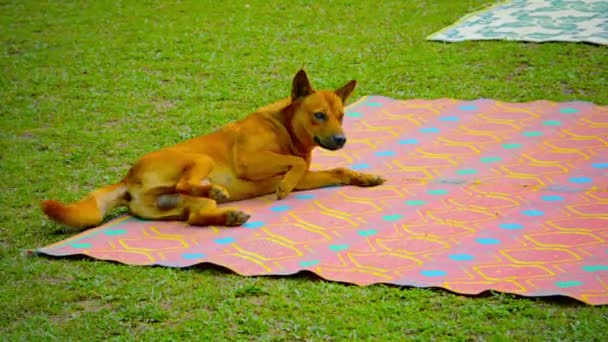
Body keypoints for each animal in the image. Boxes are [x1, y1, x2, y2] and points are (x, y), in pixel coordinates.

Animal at [42, 70, 384, 228]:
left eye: (341, 115)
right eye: (319, 115)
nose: (341, 140)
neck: (284, 128)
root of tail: (128, 178)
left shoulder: (306, 176)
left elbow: (337, 169)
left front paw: (364, 178)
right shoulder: (250, 160)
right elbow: (293, 164)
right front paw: (284, 186)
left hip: (182, 206)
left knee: (195, 218)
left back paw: (227, 214)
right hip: (200, 159)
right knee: (187, 183)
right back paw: (217, 192)